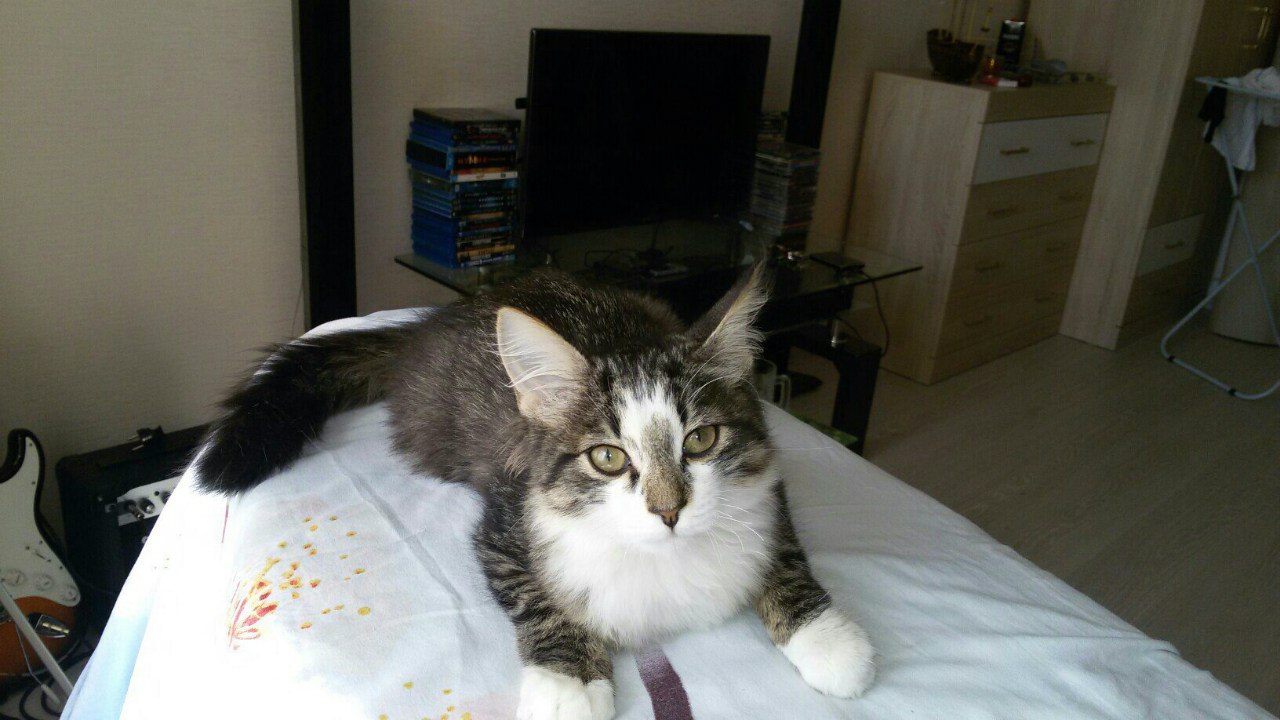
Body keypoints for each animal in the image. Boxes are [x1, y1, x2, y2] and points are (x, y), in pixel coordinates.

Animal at [194, 266, 874, 720]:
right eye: (608, 457)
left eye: (701, 440)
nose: (669, 509)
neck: (661, 559)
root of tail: (429, 325)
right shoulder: (506, 521)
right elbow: (537, 596)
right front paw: (568, 685)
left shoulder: (766, 493)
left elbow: (787, 557)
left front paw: (828, 639)